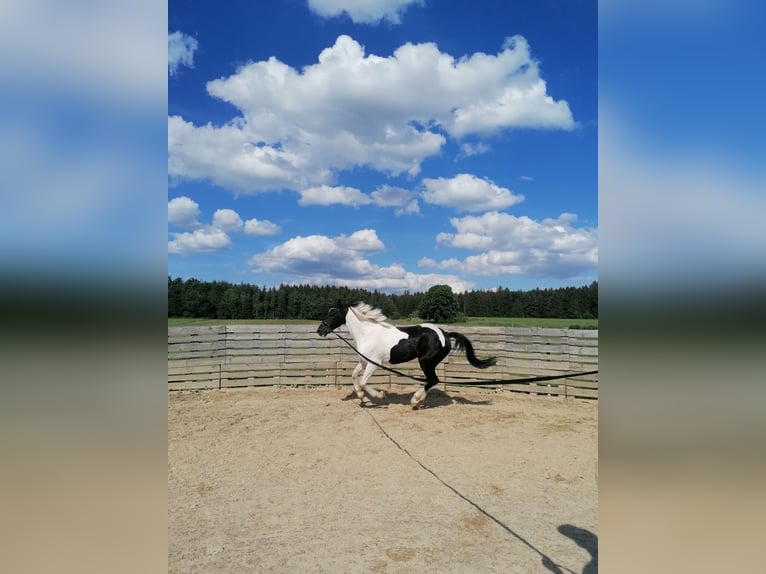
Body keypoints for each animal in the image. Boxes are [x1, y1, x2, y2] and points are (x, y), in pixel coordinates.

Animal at [316, 302, 498, 410]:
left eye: (332, 313)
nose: (320, 330)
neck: (367, 333)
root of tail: (445, 334)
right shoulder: (364, 361)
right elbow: (354, 376)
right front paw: (360, 397)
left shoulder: (374, 363)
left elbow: (363, 382)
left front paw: (379, 395)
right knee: (431, 381)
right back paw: (420, 401)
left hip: (425, 362)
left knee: (433, 380)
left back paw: (414, 400)